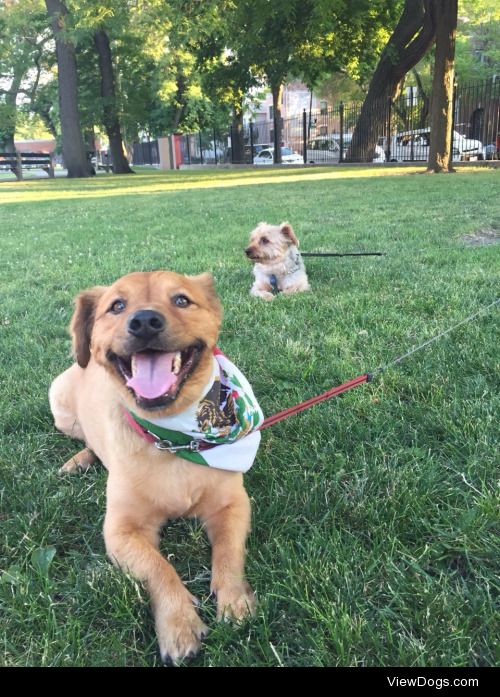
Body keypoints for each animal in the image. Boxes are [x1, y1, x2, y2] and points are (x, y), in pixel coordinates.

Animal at [49, 270, 262, 660]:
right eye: (117, 305)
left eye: (181, 300)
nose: (145, 321)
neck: (173, 439)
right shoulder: (121, 531)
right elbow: (158, 568)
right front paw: (178, 624)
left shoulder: (232, 505)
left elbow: (229, 554)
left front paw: (234, 599)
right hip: (62, 410)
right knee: (86, 440)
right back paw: (78, 461)